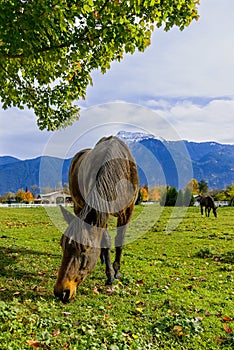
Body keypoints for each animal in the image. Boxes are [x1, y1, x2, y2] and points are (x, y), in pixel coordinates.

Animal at [54, 135, 139, 302]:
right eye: (62, 245)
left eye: (84, 249)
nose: (61, 292)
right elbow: (105, 242)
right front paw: (110, 274)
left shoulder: (128, 211)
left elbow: (119, 241)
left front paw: (116, 272)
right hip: (78, 205)